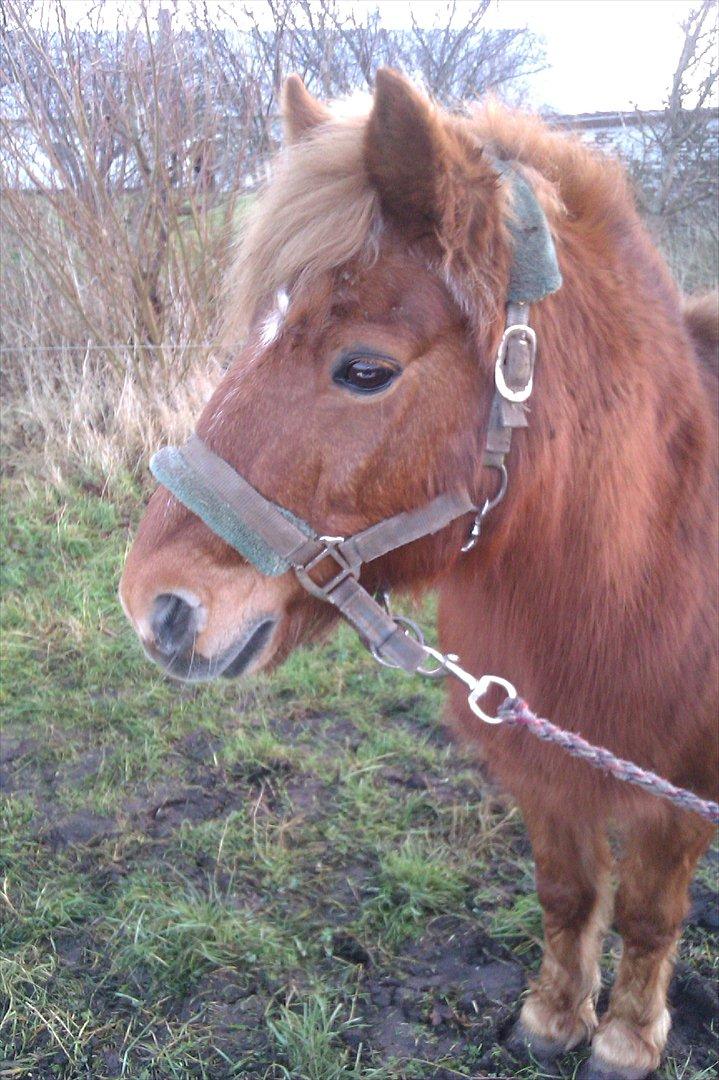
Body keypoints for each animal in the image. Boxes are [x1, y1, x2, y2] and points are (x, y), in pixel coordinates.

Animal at [120, 70, 718, 1079]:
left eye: (365, 369)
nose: (152, 605)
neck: (641, 568)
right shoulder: (540, 761)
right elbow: (566, 893)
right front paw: (552, 1018)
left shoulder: (675, 785)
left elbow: (646, 911)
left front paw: (627, 1038)